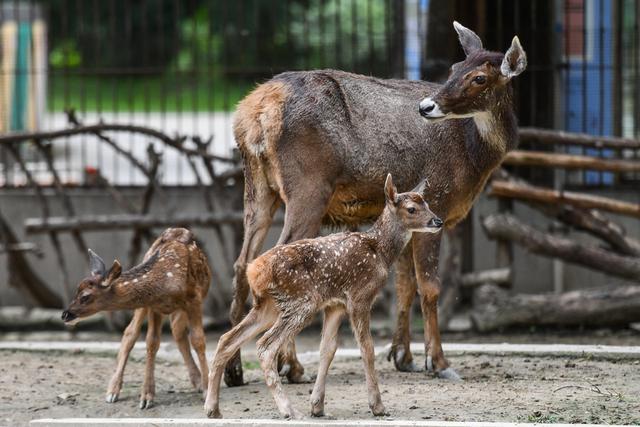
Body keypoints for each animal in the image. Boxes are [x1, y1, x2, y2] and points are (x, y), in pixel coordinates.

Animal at [228, 21, 528, 386]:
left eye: (479, 77)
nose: (426, 107)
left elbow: (404, 284)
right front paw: (438, 362)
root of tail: (255, 112)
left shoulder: (410, 217)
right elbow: (429, 285)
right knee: (278, 254)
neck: (474, 155)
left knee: (242, 263)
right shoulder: (437, 202)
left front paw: (403, 356)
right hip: (308, 187)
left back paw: (234, 369)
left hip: (258, 186)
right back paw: (292, 366)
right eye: (455, 69)